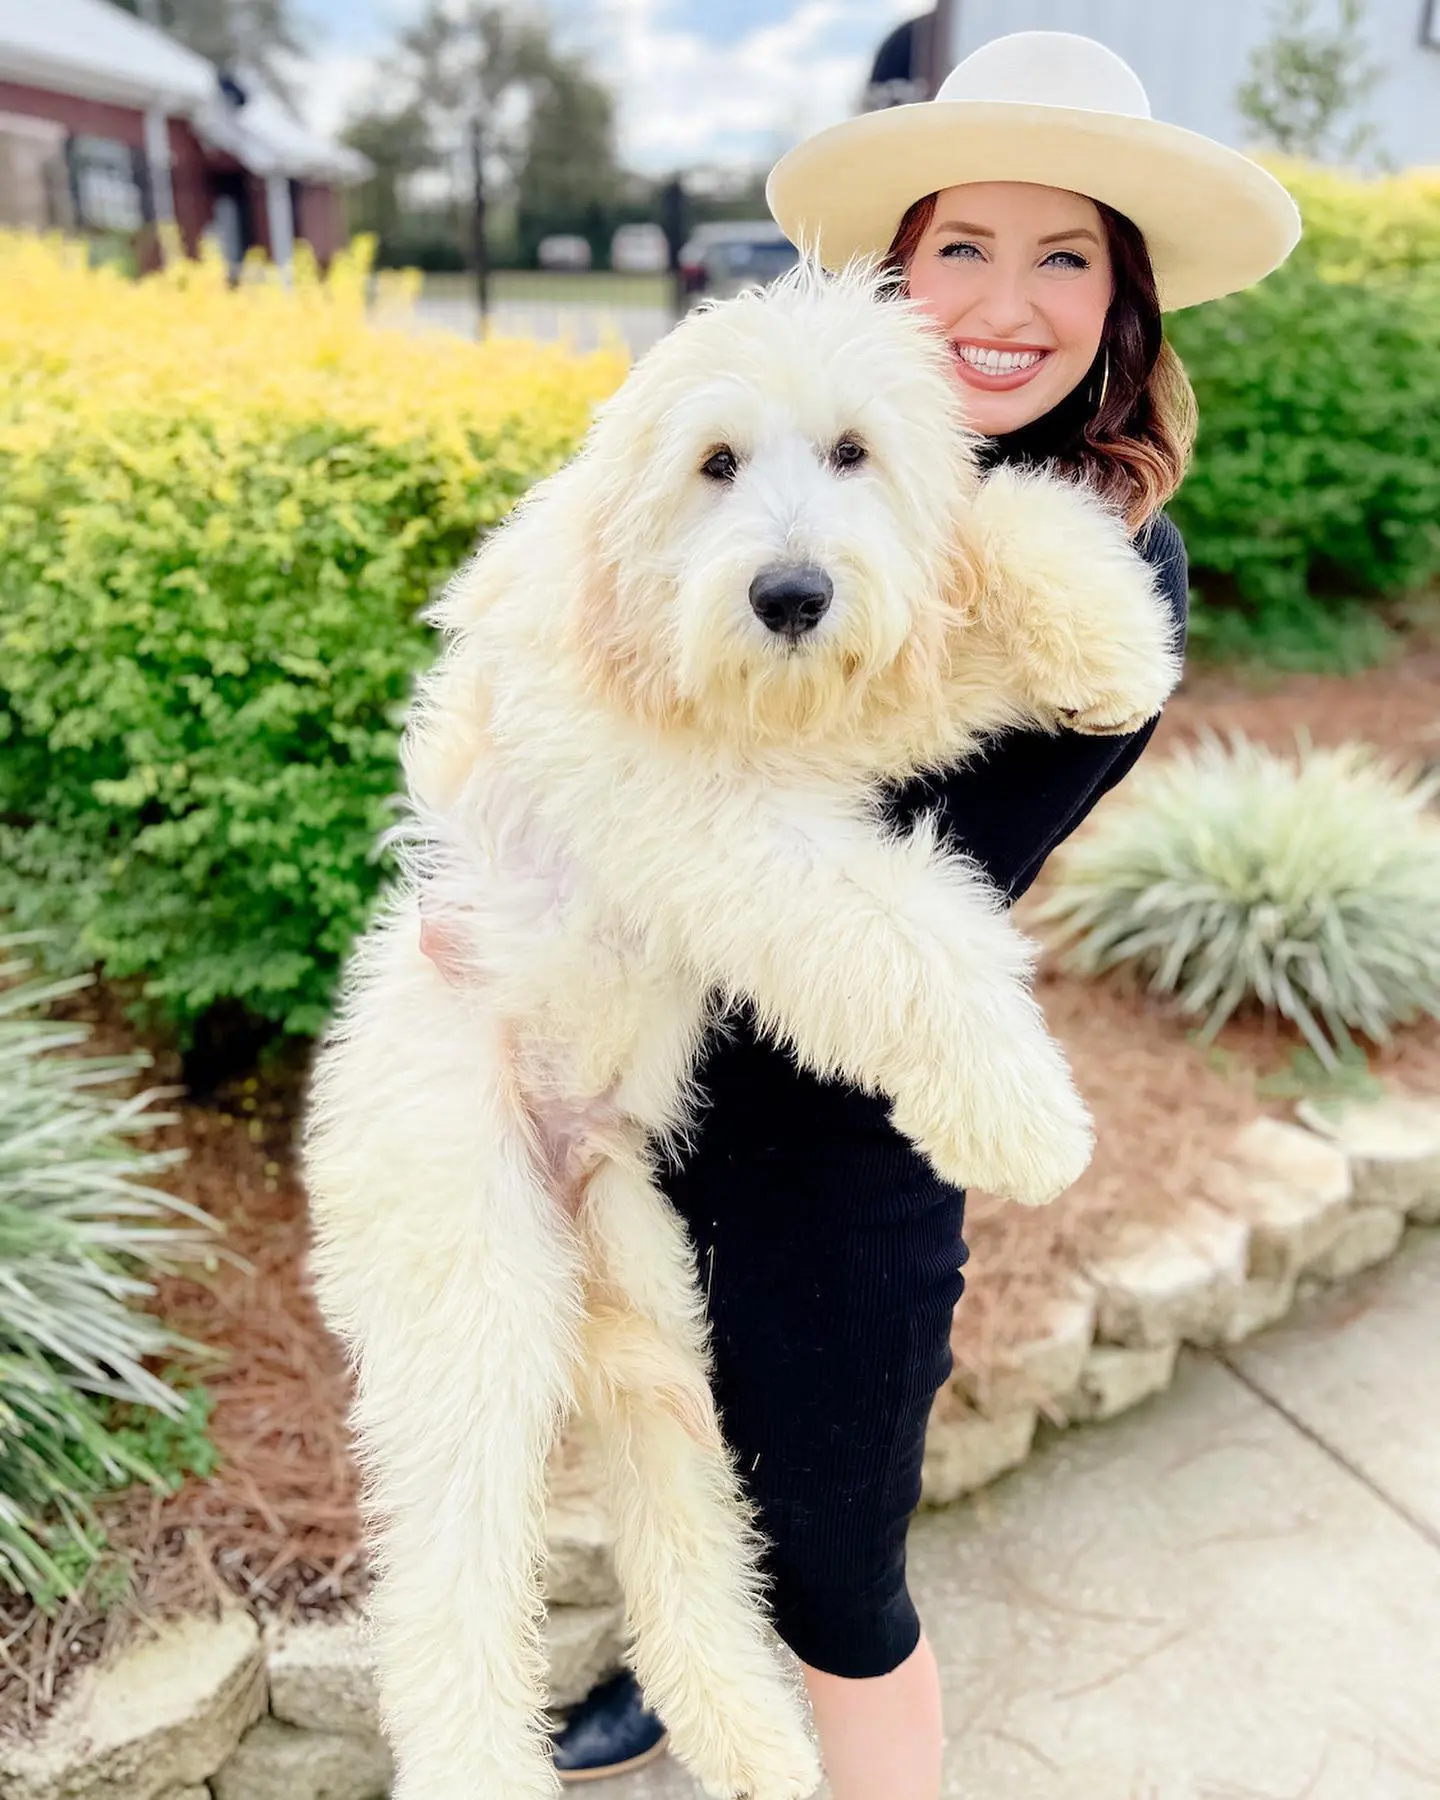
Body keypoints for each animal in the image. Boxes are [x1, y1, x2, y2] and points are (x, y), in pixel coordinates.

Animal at [300, 262, 1180, 1800]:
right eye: (714, 463)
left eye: (854, 452)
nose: (791, 595)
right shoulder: (706, 816)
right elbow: (894, 926)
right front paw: (1023, 1115)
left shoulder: (847, 701)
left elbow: (980, 549)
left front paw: (1106, 629)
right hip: (472, 1284)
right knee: (450, 1576)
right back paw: (493, 1755)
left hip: (654, 1293)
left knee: (686, 1526)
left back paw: (749, 1729)